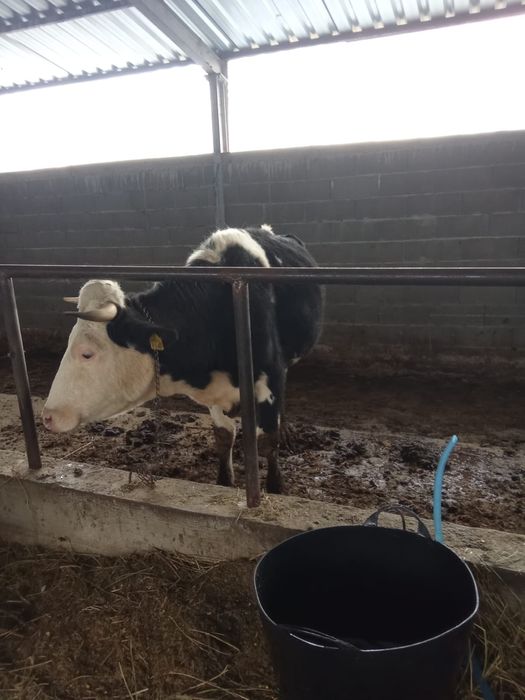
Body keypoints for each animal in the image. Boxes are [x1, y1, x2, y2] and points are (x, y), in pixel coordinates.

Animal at [42, 225, 323, 494]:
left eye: (87, 353)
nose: (47, 416)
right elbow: (223, 437)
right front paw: (224, 483)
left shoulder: (270, 378)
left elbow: (268, 442)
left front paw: (276, 488)